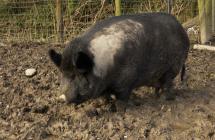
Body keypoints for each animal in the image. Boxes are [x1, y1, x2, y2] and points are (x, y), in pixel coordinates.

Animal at [49, 12, 190, 105]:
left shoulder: (126, 79)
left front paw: (120, 108)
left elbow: (122, 96)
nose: (61, 97)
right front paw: (102, 104)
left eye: (76, 75)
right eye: (63, 74)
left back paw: (164, 99)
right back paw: (155, 96)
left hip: (173, 67)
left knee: (168, 83)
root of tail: (183, 32)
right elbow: (104, 96)